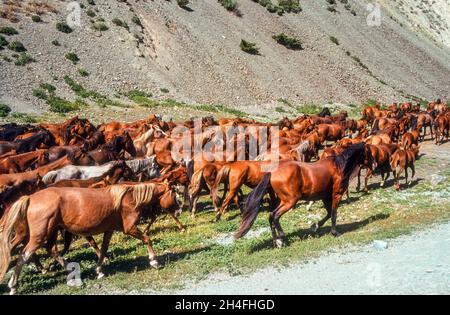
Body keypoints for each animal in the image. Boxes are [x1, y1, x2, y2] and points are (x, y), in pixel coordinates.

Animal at [0, 181, 179, 296]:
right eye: (174, 195)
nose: (178, 209)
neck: (129, 198)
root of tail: (30, 198)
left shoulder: (109, 230)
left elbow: (103, 250)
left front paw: (99, 271)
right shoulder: (130, 228)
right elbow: (147, 239)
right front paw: (154, 261)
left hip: (49, 233)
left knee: (51, 250)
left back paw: (69, 270)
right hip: (39, 236)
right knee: (24, 256)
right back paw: (13, 286)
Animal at [234, 143, 370, 249]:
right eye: (368, 151)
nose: (373, 167)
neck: (339, 166)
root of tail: (273, 171)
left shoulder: (325, 197)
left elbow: (328, 213)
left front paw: (315, 226)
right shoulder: (336, 195)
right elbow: (334, 214)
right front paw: (335, 233)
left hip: (280, 200)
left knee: (271, 216)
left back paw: (276, 241)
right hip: (290, 201)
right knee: (274, 215)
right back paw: (281, 238)